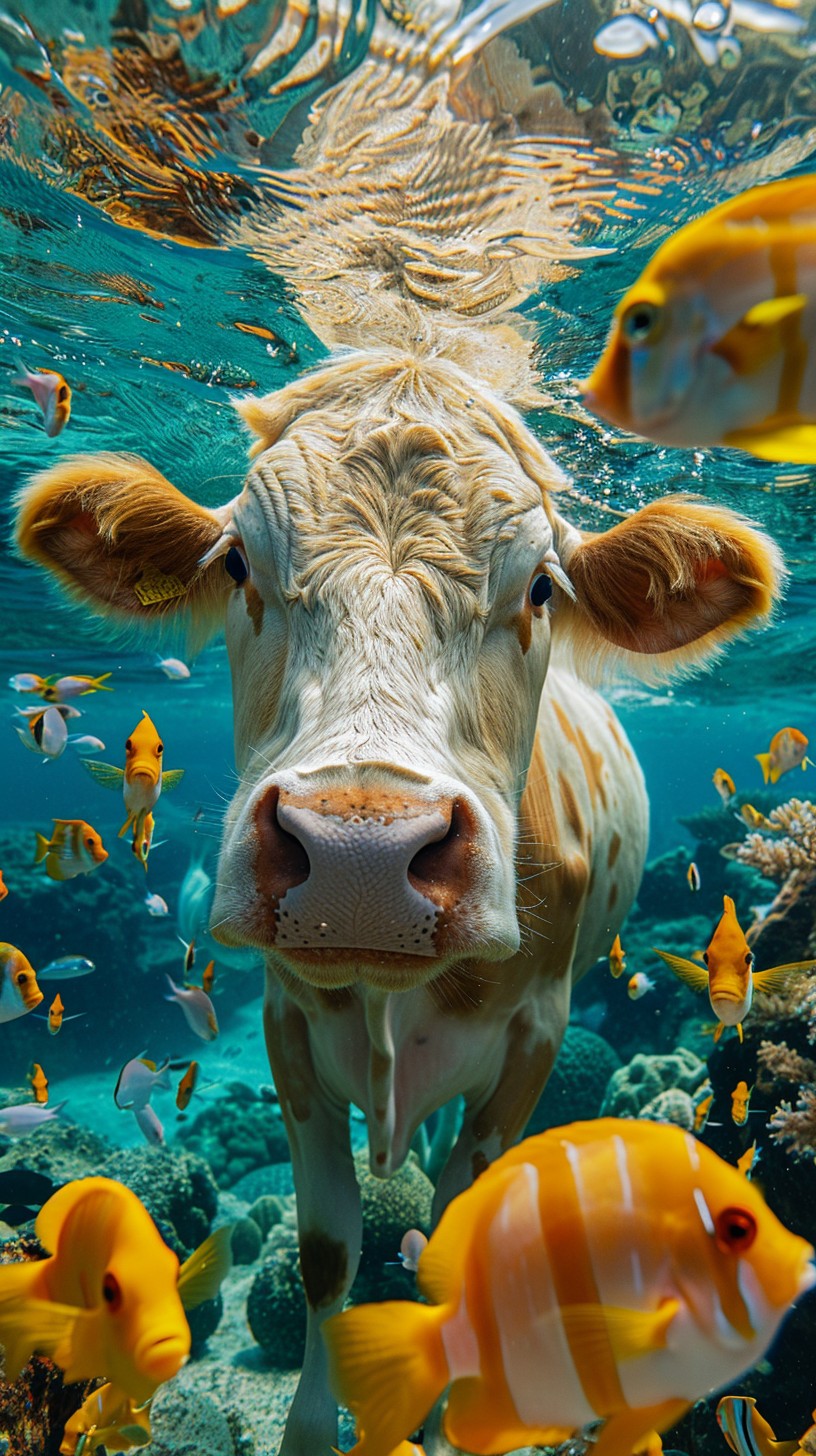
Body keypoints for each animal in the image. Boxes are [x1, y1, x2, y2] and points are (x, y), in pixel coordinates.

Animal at [12, 9, 785, 1456]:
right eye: (240, 565)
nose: (362, 852)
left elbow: (460, 1236)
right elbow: (326, 1257)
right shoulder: (286, 1030)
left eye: (538, 587)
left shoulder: (538, 1035)